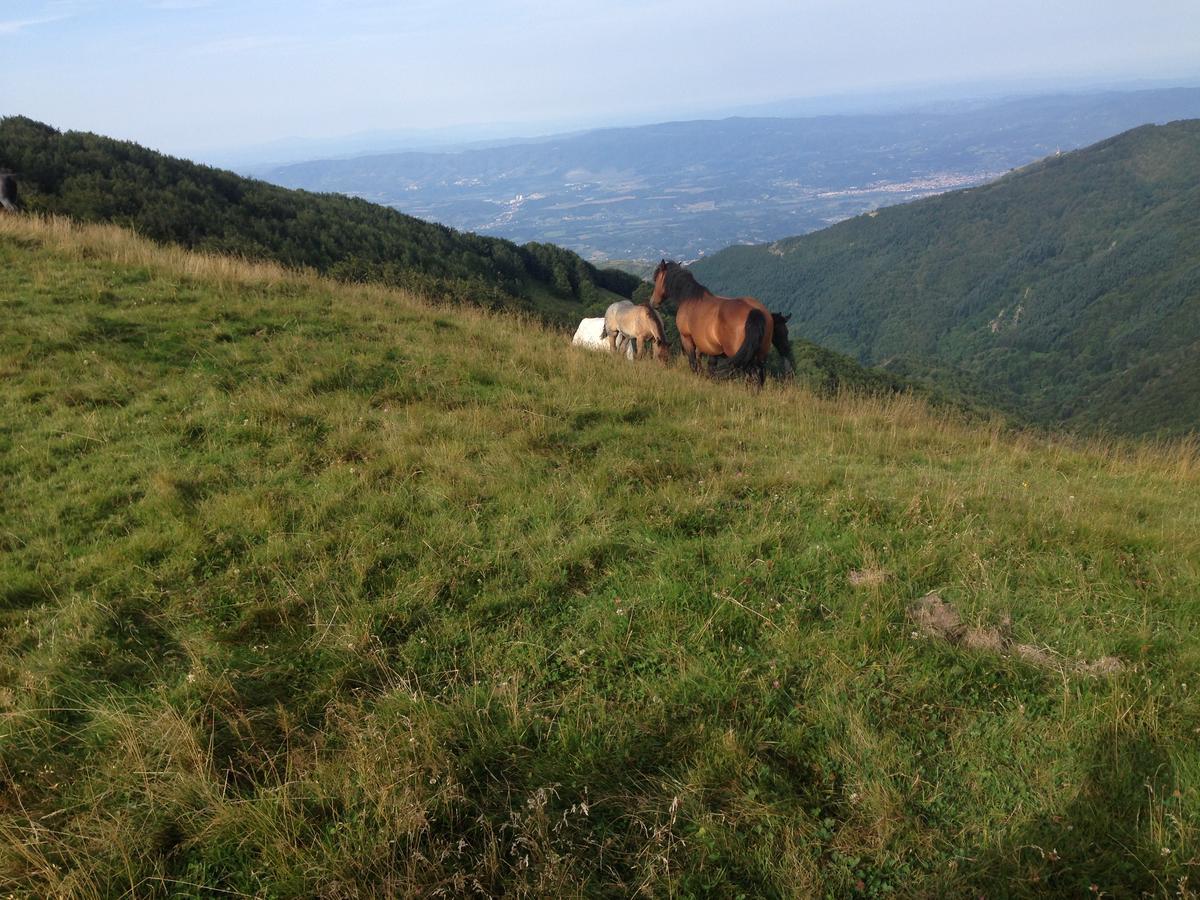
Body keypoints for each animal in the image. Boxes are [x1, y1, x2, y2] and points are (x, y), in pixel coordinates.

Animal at [652, 260, 772, 388]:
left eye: (656, 279)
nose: (653, 302)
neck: (690, 298)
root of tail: (754, 311)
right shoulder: (709, 347)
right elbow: (708, 366)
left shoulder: (687, 338)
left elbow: (694, 364)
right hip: (760, 356)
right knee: (759, 376)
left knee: (752, 376)